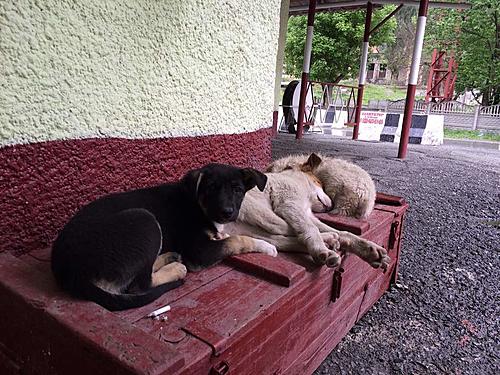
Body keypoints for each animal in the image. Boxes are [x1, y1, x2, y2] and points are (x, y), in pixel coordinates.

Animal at [50, 164, 278, 312]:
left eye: (238, 190)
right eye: (211, 188)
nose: (227, 212)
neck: (196, 203)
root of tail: (70, 273)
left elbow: (226, 236)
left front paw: (221, 232)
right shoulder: (199, 253)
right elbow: (237, 240)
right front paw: (266, 246)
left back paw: (169, 257)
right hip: (144, 220)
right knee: (139, 284)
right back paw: (175, 268)